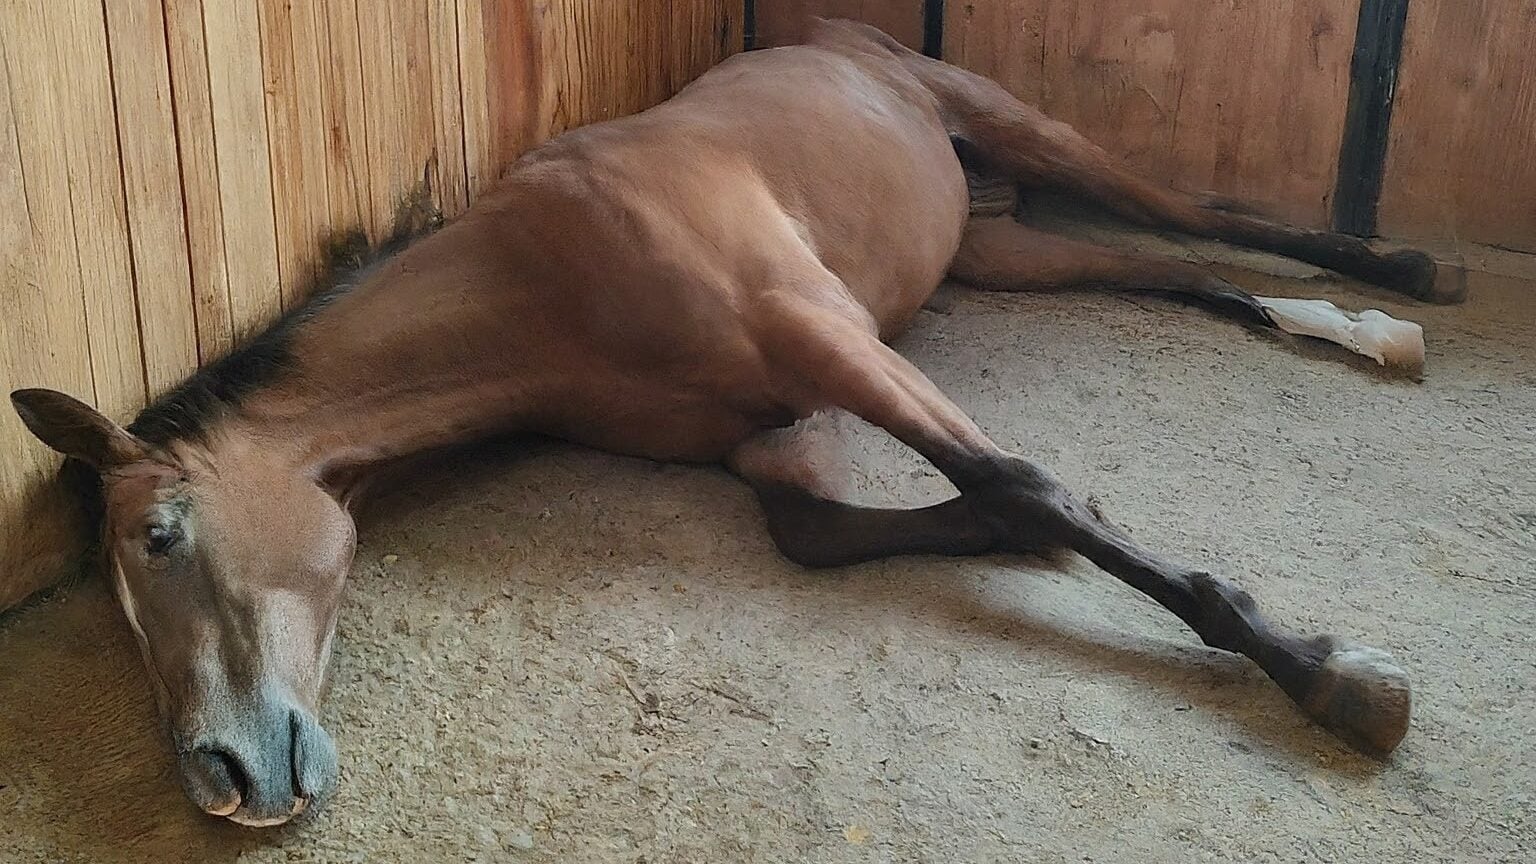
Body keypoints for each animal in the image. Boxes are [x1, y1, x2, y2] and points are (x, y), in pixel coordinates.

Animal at [9, 20, 1447, 827]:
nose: (225, 777)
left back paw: (1399, 276)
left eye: (160, 535)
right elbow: (830, 530)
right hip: (992, 252)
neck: (550, 280)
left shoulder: (827, 338)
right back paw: (1349, 324)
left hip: (1024, 131)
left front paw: (1330, 674)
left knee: (1199, 213)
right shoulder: (757, 433)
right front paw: (1014, 540)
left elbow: (1024, 478)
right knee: (1174, 266)